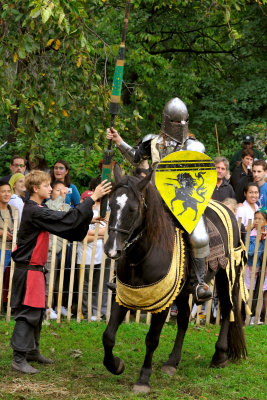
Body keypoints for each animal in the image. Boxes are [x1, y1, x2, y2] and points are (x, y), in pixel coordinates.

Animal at [103, 165, 249, 394]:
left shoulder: (162, 305)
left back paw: (220, 355)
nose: (112, 250)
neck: (143, 254)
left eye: (133, 209)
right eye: (111, 204)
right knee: (184, 318)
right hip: (183, 290)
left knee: (227, 309)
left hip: (226, 276)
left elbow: (152, 339)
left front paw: (143, 379)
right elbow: (108, 336)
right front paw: (116, 365)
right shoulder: (124, 296)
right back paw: (172, 362)